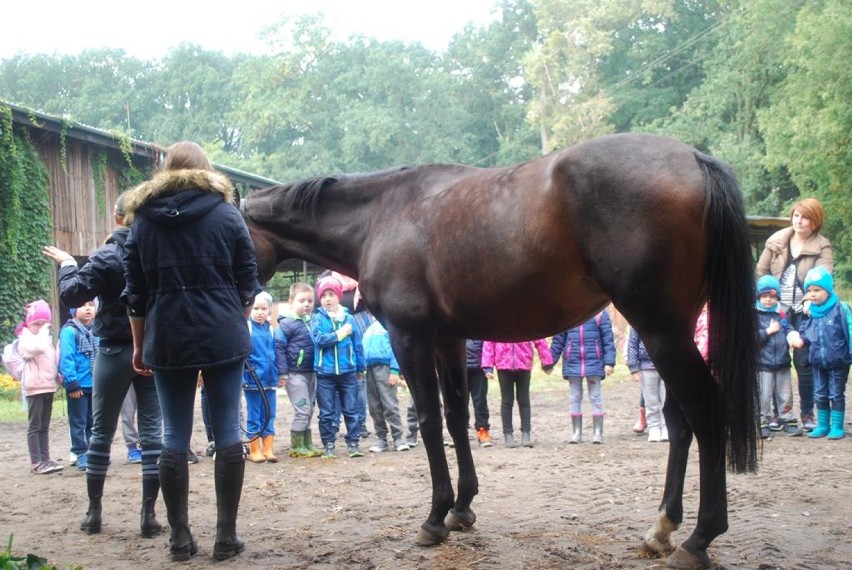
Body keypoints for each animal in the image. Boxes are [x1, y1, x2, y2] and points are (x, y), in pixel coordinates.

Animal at [240, 134, 760, 568]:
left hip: (659, 328)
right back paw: (662, 529)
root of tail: (694, 158)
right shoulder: (448, 338)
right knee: (679, 420)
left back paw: (698, 540)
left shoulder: (410, 336)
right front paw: (461, 508)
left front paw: (434, 517)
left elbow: (428, 418)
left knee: (704, 410)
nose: (248, 306)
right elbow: (457, 416)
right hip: (672, 329)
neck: (380, 216)